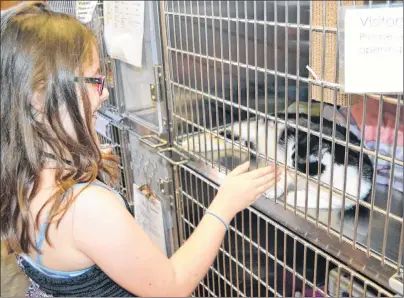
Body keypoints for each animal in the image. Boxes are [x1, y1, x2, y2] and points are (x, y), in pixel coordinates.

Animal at [181, 113, 374, 211]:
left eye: (298, 160)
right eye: (292, 154)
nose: (289, 162)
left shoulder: (350, 195)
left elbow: (324, 200)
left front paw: (292, 197)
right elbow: (282, 178)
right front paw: (274, 189)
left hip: (243, 142)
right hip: (245, 132)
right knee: (220, 134)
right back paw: (190, 143)